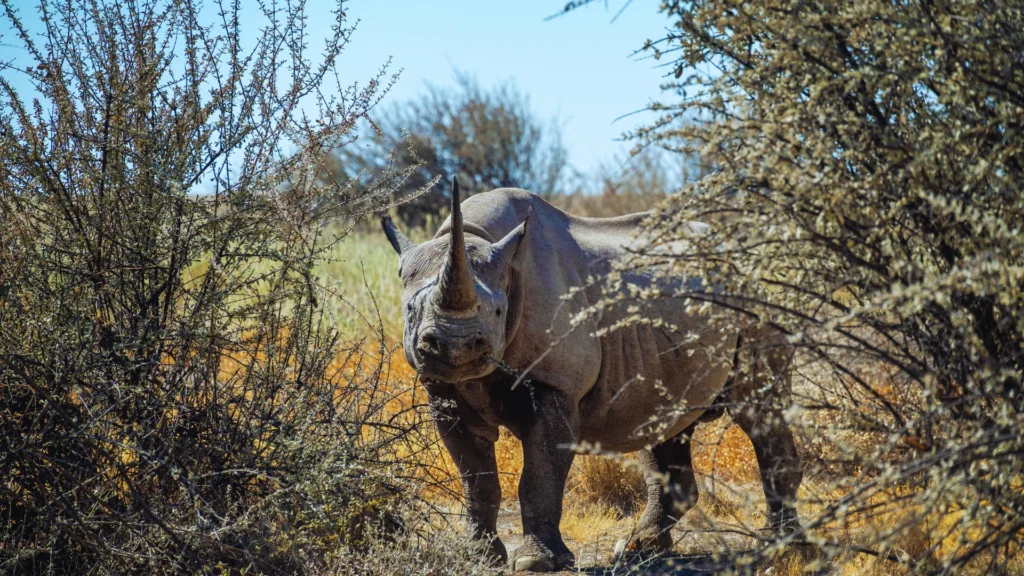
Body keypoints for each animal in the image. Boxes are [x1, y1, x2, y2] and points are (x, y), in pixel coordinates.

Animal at [381, 178, 802, 571]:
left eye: (498, 312)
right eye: (410, 312)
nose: (457, 347)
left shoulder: (555, 381)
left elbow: (539, 477)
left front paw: (536, 563)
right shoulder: (444, 388)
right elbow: (476, 478)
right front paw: (480, 558)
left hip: (758, 301)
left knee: (759, 409)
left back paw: (779, 549)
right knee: (664, 417)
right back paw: (639, 547)